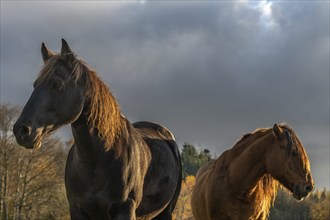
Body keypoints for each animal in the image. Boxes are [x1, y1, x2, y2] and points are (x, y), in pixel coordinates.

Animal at [13, 38, 183, 219]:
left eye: (56, 84)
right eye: (35, 85)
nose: (21, 130)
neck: (97, 160)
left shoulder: (125, 210)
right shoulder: (77, 210)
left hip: (166, 212)